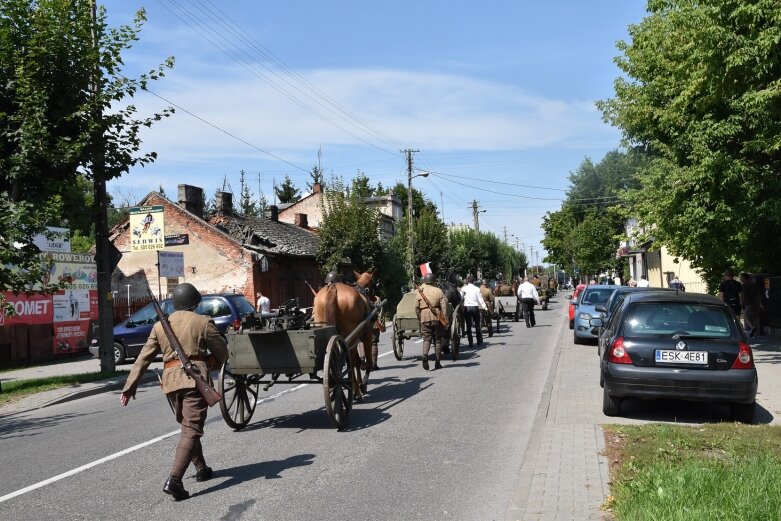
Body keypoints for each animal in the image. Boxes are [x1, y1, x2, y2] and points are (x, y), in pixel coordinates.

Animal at [312, 268, 376, 398]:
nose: (373, 298)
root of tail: (333, 287)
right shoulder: (366, 336)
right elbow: (366, 362)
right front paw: (362, 385)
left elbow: (358, 362)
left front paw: (359, 384)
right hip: (351, 338)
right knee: (351, 361)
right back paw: (355, 391)